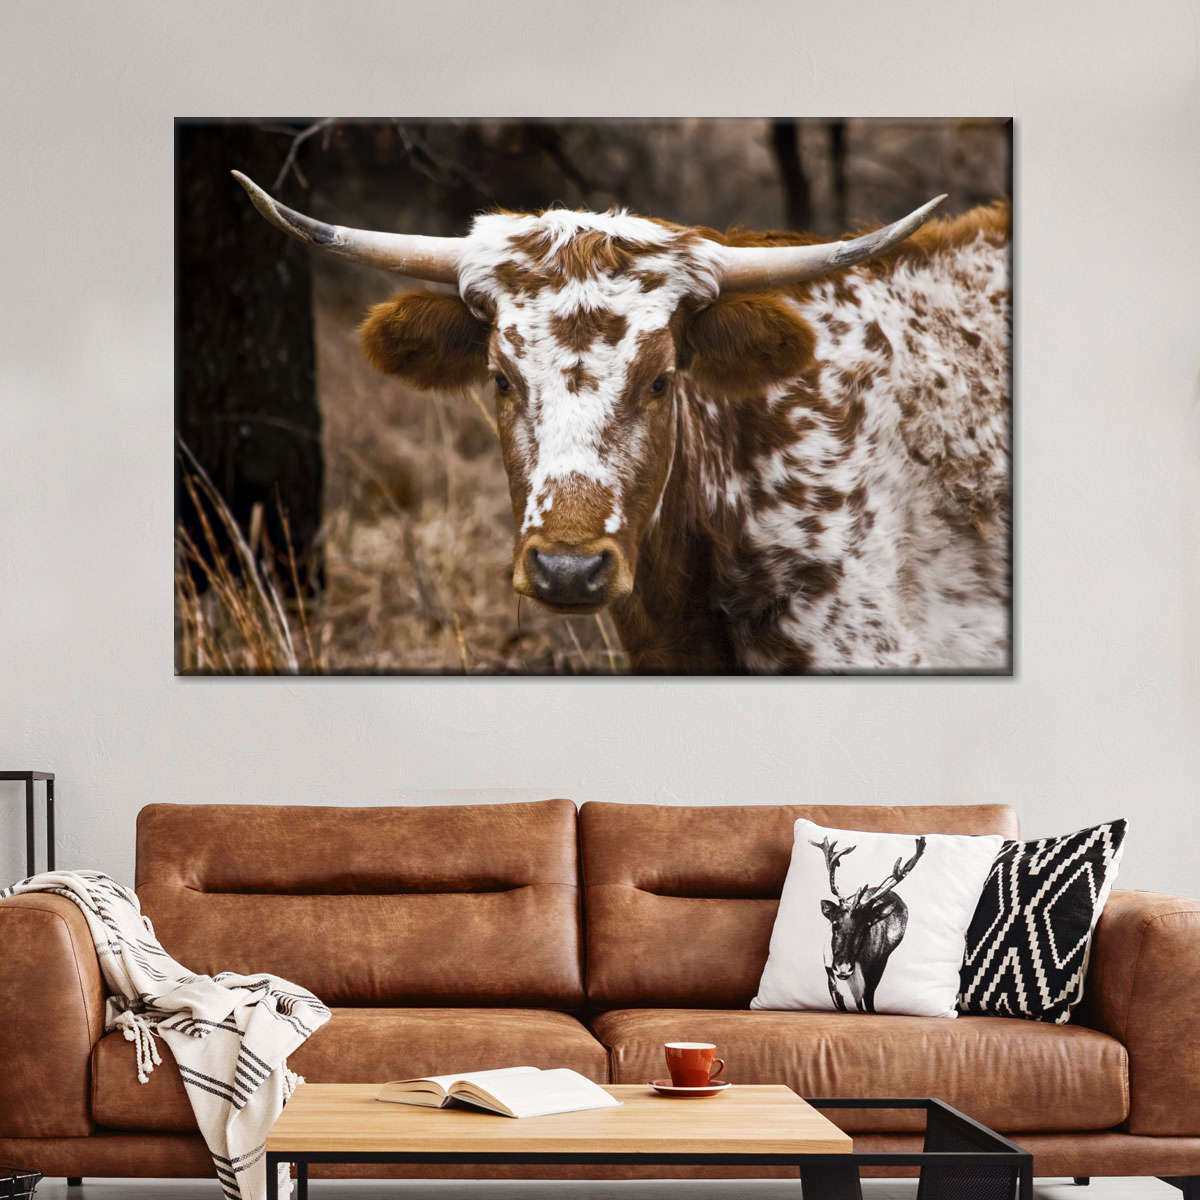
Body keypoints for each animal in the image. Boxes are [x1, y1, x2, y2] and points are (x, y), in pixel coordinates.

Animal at [811, 835, 927, 1013]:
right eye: (835, 924)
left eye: (866, 927)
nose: (843, 968)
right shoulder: (830, 976)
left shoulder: (872, 975)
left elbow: (868, 1004)